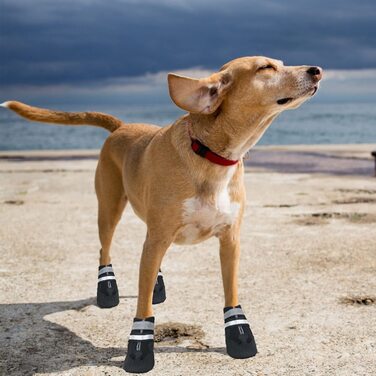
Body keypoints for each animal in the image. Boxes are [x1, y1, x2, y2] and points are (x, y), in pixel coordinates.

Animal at [1, 55, 322, 374]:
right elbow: (142, 306)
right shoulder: (158, 236)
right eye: (265, 68)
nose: (316, 70)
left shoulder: (230, 240)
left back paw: (155, 281)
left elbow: (230, 293)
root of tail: (121, 126)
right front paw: (139, 350)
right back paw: (108, 290)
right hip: (109, 209)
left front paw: (239, 336)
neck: (210, 155)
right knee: (106, 248)